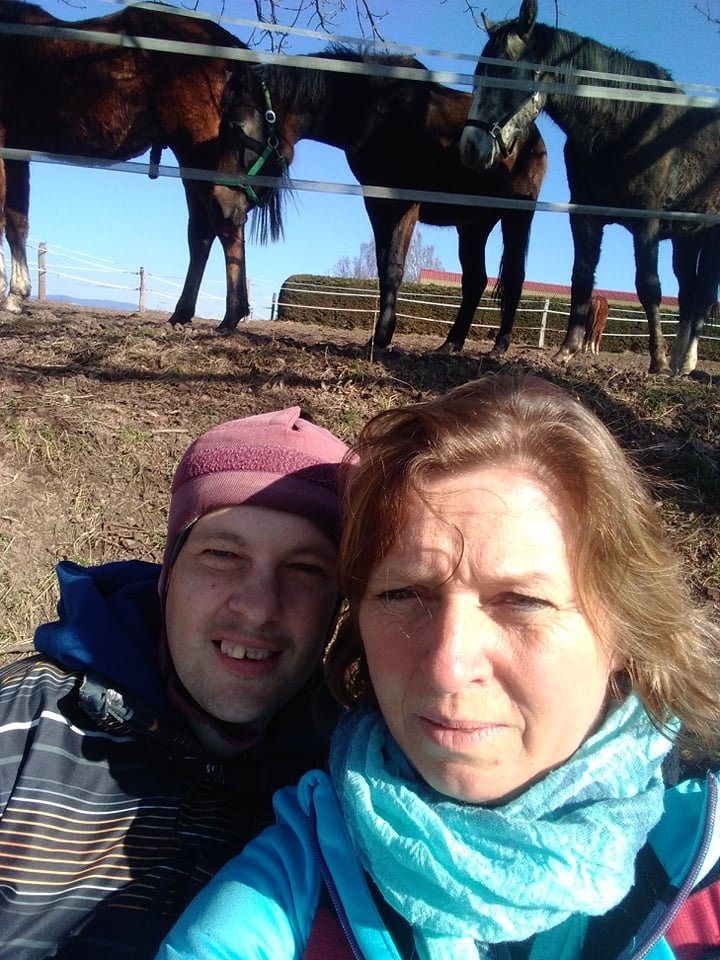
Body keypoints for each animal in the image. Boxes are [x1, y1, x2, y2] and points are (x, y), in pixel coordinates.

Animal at [0, 1, 287, 330]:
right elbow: (15, 219)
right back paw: (184, 313)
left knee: (222, 225)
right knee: (202, 232)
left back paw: (230, 315)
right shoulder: (16, 150)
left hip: (197, 159)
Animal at [224, 45, 547, 353]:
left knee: (514, 276)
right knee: (475, 281)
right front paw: (379, 336)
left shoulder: (405, 204)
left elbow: (393, 267)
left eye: (237, 126)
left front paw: (381, 338)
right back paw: (450, 344)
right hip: (472, 226)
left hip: (517, 215)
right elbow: (383, 266)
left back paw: (500, 345)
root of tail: (534, 137)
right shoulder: (377, 202)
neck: (381, 111)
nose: (227, 200)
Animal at [459, 0, 720, 375]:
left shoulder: (647, 223)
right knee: (688, 290)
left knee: (703, 294)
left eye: (505, 71)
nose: (470, 147)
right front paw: (567, 351)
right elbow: (581, 276)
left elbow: (648, 285)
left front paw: (656, 360)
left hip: (710, 236)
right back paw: (678, 359)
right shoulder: (584, 217)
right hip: (686, 239)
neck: (624, 126)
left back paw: (683, 363)